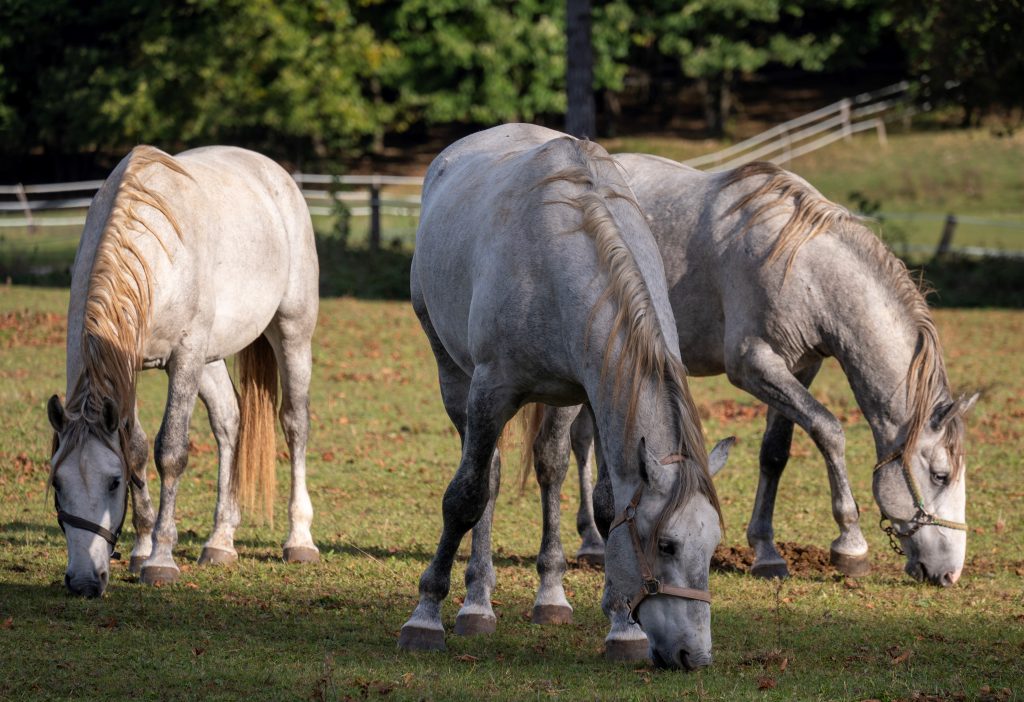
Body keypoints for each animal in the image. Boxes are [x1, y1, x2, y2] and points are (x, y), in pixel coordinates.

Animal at [47, 145, 319, 597]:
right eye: (56, 483)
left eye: (112, 482)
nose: (84, 582)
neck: (151, 248)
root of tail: (274, 173)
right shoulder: (132, 367)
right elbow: (137, 449)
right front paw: (141, 548)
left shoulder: (185, 356)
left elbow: (170, 452)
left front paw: (160, 560)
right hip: (210, 360)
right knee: (229, 421)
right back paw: (221, 542)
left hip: (291, 332)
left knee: (295, 424)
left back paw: (299, 540)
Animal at [399, 125, 729, 671]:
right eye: (666, 545)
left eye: (713, 545)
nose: (695, 655)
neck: (561, 255)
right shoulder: (489, 391)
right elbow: (465, 497)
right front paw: (426, 616)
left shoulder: (596, 391)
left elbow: (605, 504)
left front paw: (621, 626)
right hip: (454, 375)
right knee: (486, 476)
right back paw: (476, 603)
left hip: (561, 400)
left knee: (550, 468)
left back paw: (549, 596)